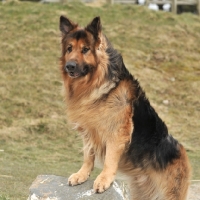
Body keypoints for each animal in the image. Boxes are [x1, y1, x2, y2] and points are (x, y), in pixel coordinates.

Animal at [59, 16, 191, 200]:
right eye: (69, 48)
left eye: (85, 49)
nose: (69, 66)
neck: (96, 84)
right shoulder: (89, 130)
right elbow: (88, 155)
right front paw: (82, 174)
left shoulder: (117, 132)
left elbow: (109, 159)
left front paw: (104, 179)